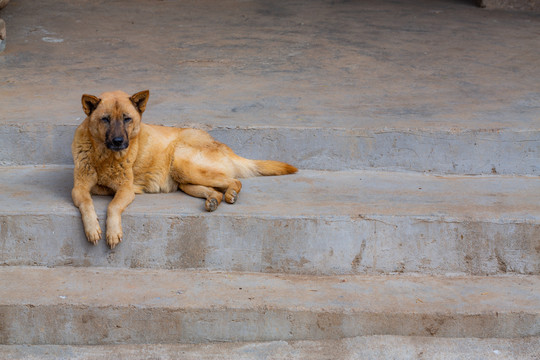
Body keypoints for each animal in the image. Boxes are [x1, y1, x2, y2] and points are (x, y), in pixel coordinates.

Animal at [71, 89, 298, 248]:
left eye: (127, 119)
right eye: (105, 119)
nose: (119, 142)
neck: (103, 157)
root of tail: (222, 145)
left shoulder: (125, 190)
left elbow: (112, 206)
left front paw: (112, 232)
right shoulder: (79, 189)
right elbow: (87, 204)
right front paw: (93, 229)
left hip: (183, 165)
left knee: (235, 180)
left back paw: (231, 193)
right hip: (184, 181)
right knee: (215, 191)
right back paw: (213, 200)